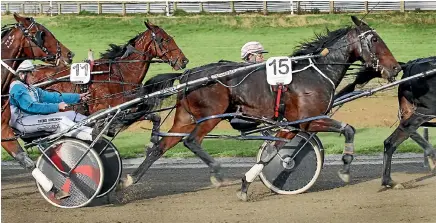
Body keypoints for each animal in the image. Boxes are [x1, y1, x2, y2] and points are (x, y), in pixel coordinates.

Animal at [118, 16, 402, 199]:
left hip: (186, 118)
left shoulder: (291, 126)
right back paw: (217, 173)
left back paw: (130, 179)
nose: (396, 67)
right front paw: (344, 168)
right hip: (210, 116)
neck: (314, 72)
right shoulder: (306, 121)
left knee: (161, 146)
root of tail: (189, 74)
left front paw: (246, 183)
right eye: (375, 40)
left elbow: (272, 153)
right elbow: (347, 129)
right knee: (191, 141)